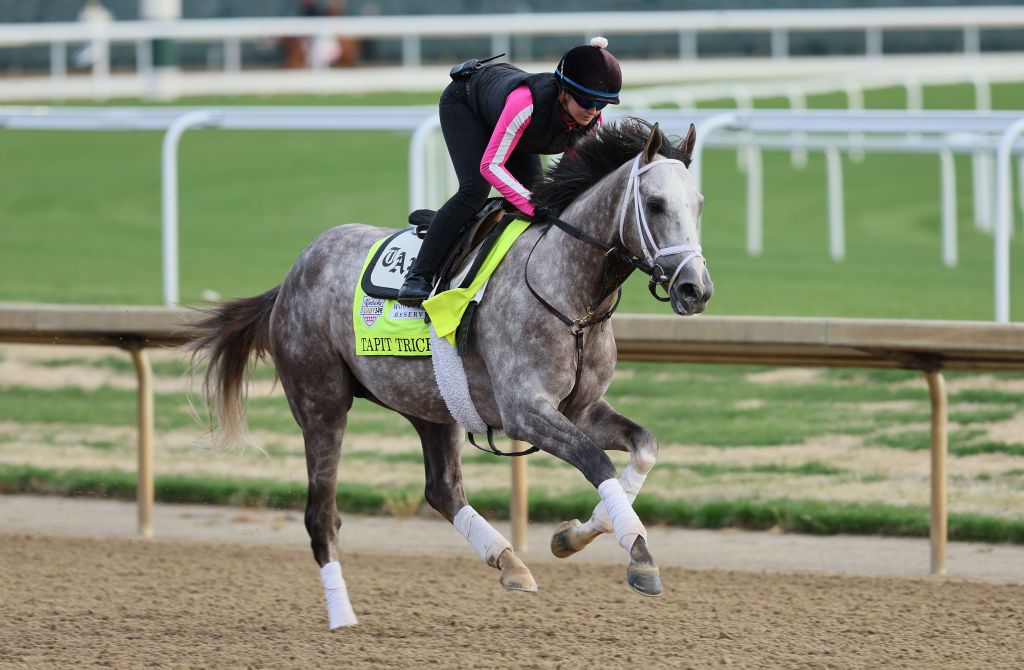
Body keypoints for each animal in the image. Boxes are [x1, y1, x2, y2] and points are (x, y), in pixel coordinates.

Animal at [188, 116, 712, 631]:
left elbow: (644, 447)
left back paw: (509, 562)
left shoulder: (580, 409)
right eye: (655, 203)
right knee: (322, 514)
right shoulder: (525, 412)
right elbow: (595, 461)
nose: (696, 289)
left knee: (442, 489)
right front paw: (640, 556)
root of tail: (291, 276)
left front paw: (576, 535)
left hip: (431, 405)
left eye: (699, 204)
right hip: (321, 404)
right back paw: (342, 616)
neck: (570, 296)